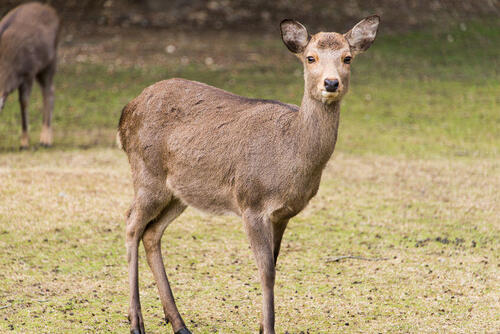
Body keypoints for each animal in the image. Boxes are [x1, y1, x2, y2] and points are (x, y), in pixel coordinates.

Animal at [0, 1, 59, 147]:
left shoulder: (28, 73)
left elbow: (24, 102)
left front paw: (24, 143)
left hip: (50, 61)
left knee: (49, 91)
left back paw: (45, 140)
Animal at [117, 15, 378, 334]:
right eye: (310, 57)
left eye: (347, 57)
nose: (331, 82)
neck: (290, 159)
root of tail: (125, 113)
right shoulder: (251, 202)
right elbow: (266, 271)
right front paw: (268, 328)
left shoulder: (283, 214)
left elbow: (274, 264)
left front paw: (262, 325)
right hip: (147, 174)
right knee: (131, 223)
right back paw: (136, 322)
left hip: (180, 192)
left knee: (152, 233)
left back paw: (179, 323)